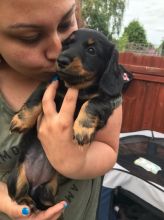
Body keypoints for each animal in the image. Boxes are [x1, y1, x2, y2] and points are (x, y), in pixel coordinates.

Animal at [7, 27, 132, 211]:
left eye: (91, 50)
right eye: (66, 44)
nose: (61, 60)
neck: (77, 87)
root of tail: (35, 187)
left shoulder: (107, 99)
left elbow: (92, 103)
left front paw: (83, 129)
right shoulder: (49, 85)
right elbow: (35, 100)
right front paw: (21, 121)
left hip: (50, 186)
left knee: (43, 199)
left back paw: (54, 207)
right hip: (17, 176)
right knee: (18, 194)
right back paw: (27, 201)